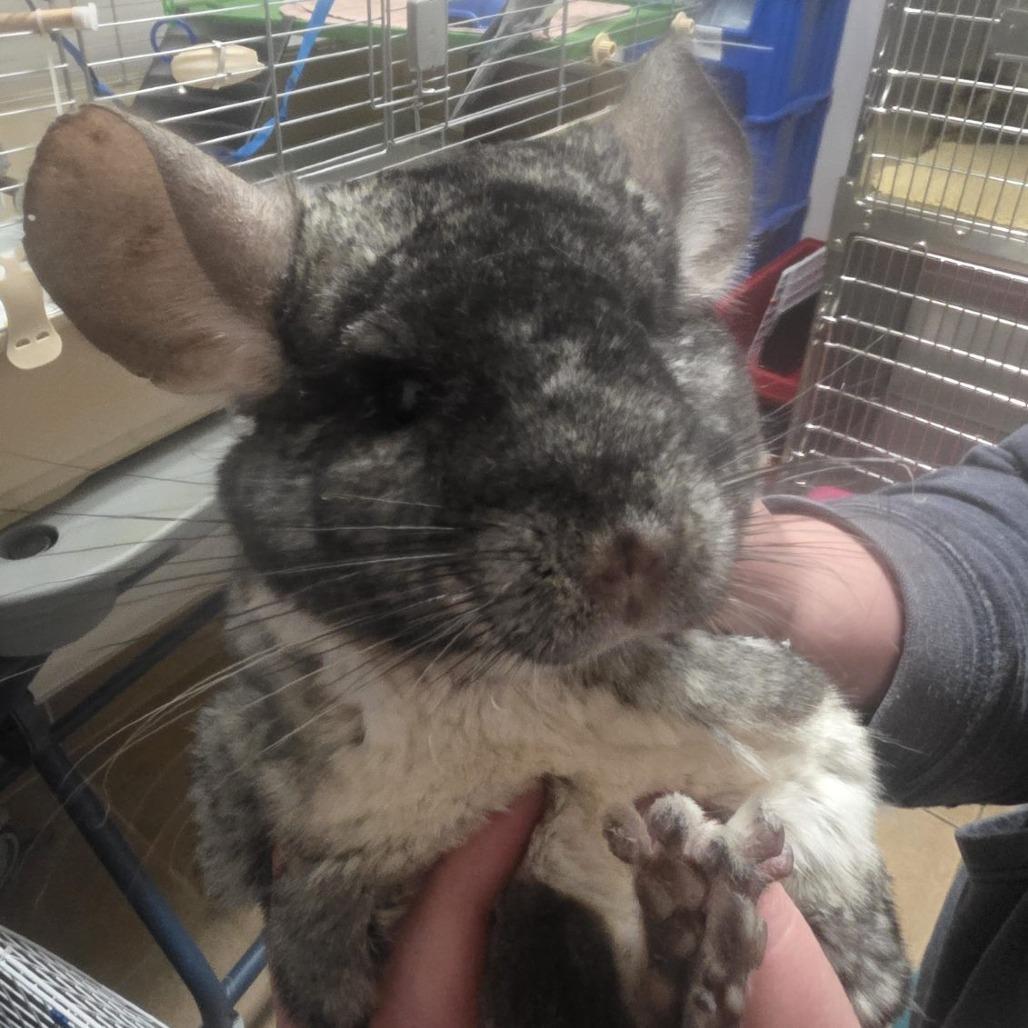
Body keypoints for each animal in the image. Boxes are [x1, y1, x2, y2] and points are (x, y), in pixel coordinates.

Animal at [23, 31, 909, 1028]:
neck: (513, 698)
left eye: (654, 330)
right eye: (395, 394)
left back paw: (691, 916)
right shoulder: (314, 856)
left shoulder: (816, 764)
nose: (631, 551)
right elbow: (319, 951)